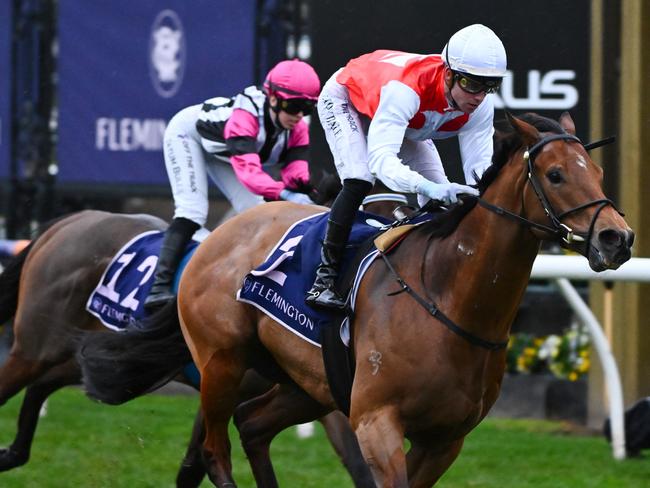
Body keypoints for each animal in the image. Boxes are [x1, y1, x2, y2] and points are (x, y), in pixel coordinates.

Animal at [177, 112, 632, 486]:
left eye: (597, 171)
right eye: (555, 175)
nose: (617, 238)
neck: (450, 302)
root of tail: (220, 233)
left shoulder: (445, 440)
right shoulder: (376, 423)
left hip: (306, 383)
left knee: (252, 425)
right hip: (223, 364)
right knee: (215, 452)